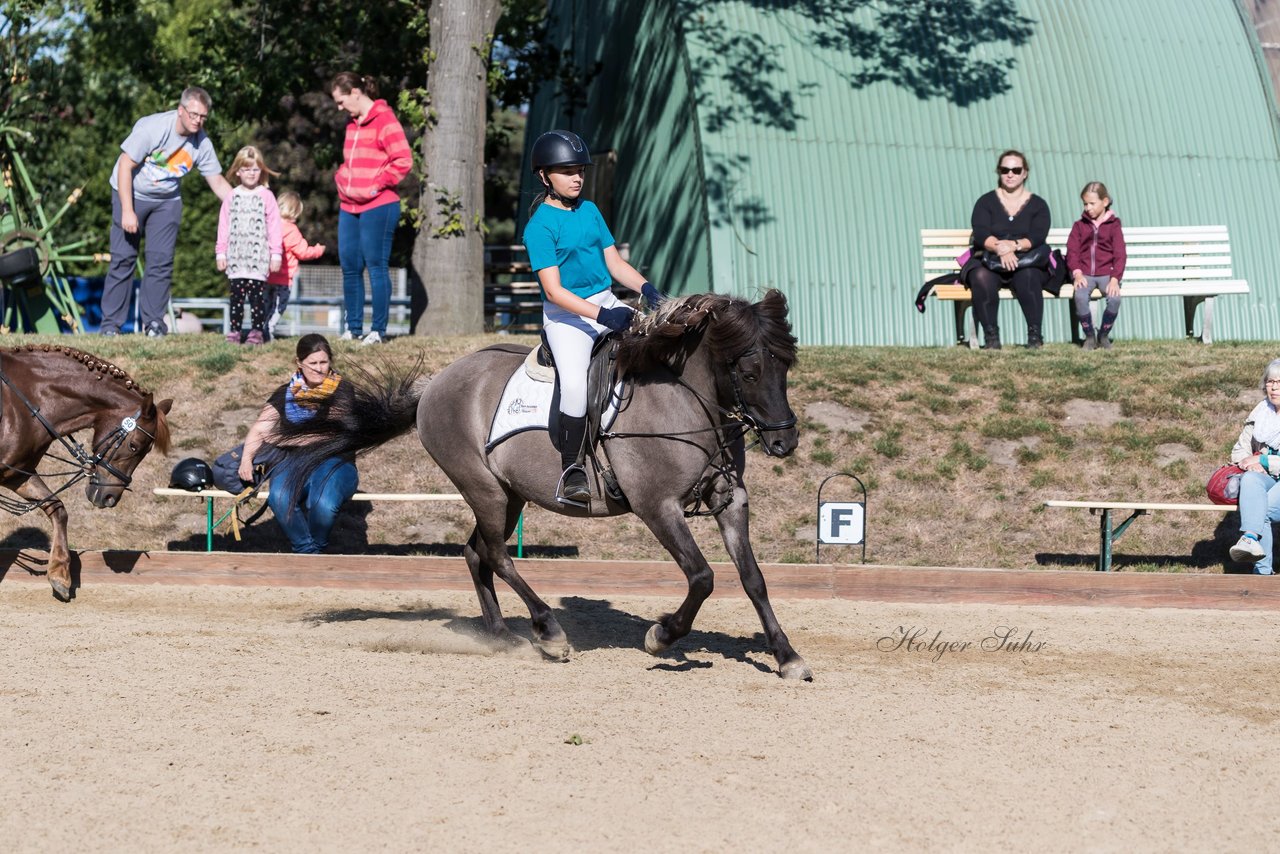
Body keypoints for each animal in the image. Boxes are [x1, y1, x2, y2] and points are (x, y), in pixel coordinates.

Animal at [0, 343, 172, 599]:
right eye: (135, 445)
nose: (110, 497)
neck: (24, 401)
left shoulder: (18, 473)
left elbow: (57, 509)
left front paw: (60, 574)